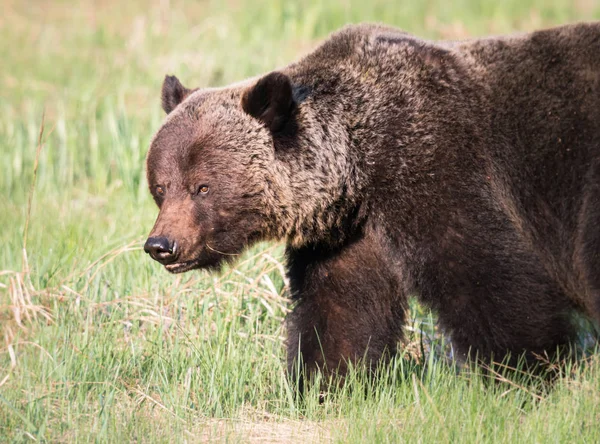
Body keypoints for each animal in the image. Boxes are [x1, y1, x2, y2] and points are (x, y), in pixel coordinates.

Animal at [144, 21, 600, 382]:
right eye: (161, 187)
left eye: (202, 186)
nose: (161, 245)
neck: (360, 163)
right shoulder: (347, 235)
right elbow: (341, 310)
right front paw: (322, 380)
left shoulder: (436, 163)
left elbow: (483, 268)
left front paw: (525, 366)